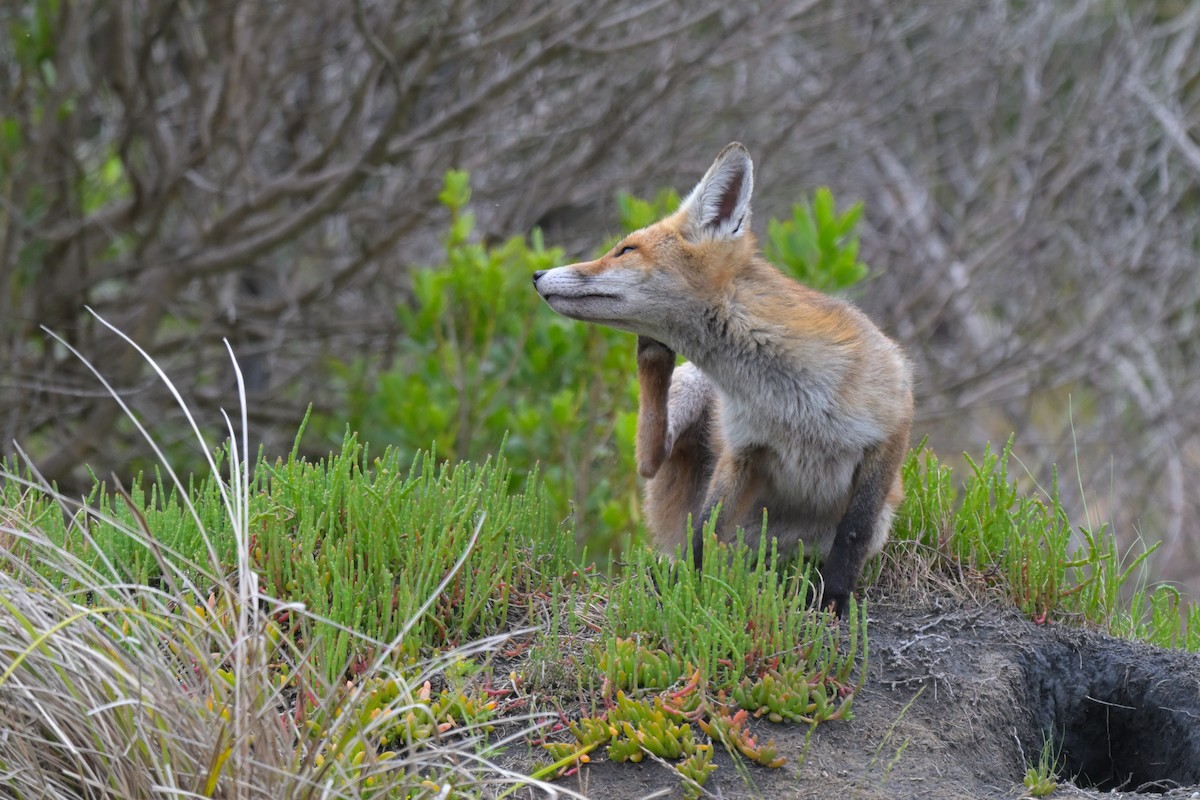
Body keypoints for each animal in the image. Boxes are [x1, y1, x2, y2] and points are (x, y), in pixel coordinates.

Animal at [532, 143, 913, 616]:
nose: (536, 275)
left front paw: (834, 598)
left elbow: (854, 532)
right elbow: (704, 530)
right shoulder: (742, 451)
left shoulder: (890, 430)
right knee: (650, 456)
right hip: (689, 393)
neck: (789, 403)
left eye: (625, 250)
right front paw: (682, 585)